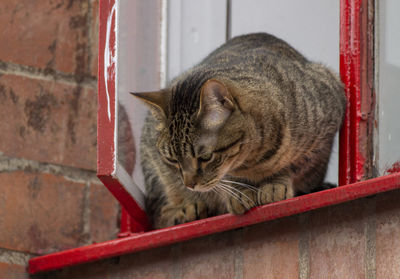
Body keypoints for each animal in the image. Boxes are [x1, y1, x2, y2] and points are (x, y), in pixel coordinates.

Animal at [132, 33, 346, 230]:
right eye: (172, 160)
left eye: (205, 158)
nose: (189, 184)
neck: (255, 160)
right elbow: (228, 178)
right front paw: (239, 190)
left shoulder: (324, 133)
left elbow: (292, 165)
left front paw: (275, 182)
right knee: (159, 213)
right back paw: (185, 210)